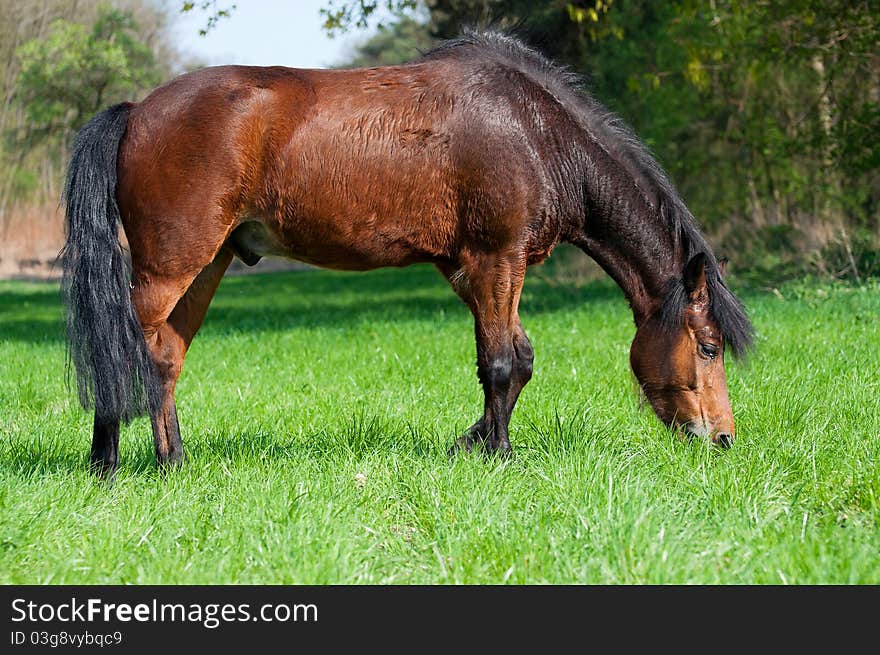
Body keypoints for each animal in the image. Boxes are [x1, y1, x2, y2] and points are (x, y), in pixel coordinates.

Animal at [62, 29, 752, 476]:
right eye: (708, 346)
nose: (723, 438)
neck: (536, 133)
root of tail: (138, 110)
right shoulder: (496, 259)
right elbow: (501, 363)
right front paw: (497, 456)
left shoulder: (471, 269)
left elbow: (517, 358)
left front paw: (471, 442)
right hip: (169, 267)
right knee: (120, 346)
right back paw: (106, 461)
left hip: (208, 264)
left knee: (164, 357)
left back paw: (172, 463)